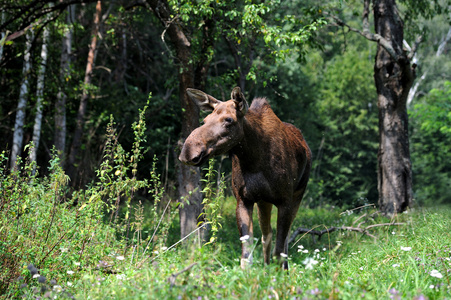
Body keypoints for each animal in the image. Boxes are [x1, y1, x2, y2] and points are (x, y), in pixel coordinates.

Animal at [179, 86, 310, 270]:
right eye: (205, 119)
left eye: (229, 119)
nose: (188, 151)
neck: (253, 159)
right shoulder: (243, 200)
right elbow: (246, 254)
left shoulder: (285, 201)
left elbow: (279, 251)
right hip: (264, 201)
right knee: (267, 234)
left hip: (297, 194)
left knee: (283, 241)